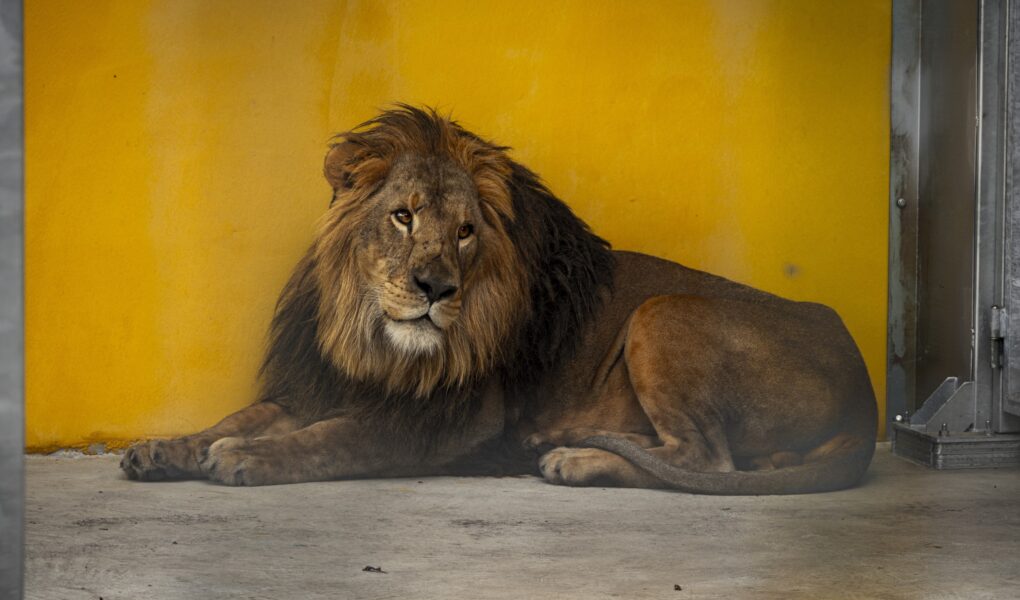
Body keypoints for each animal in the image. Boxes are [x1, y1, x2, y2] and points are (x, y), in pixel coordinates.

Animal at [123, 105, 881, 493]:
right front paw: (164, 450)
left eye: (465, 232)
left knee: (706, 462)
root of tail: (867, 391)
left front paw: (247, 460)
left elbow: (329, 440)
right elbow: (240, 418)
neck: (368, 336)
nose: (436, 289)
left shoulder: (447, 420)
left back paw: (574, 459)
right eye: (403, 216)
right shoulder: (318, 387)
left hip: (663, 311)